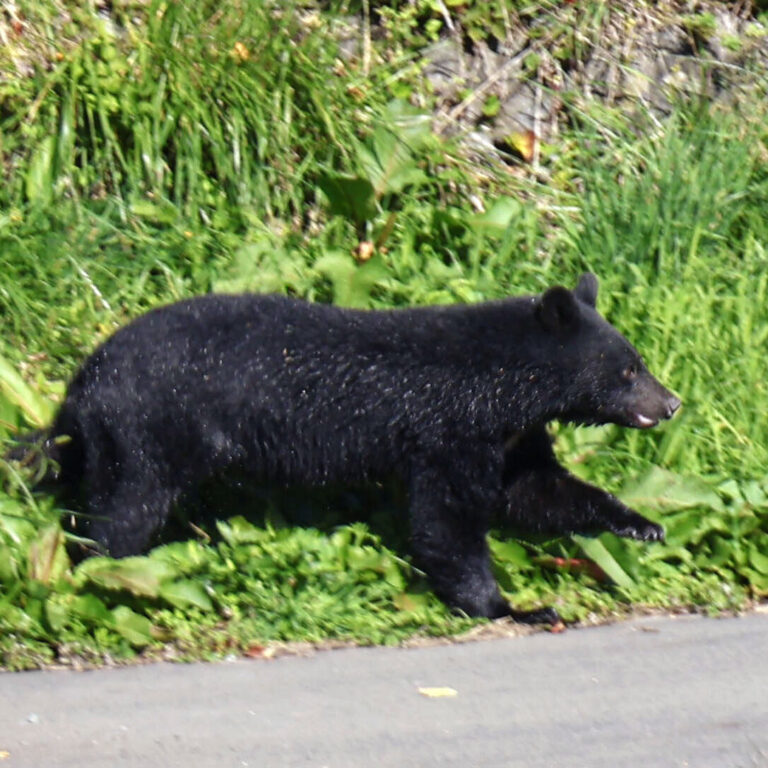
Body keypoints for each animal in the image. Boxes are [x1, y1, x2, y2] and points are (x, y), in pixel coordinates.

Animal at [14, 273, 680, 624]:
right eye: (627, 370)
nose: (671, 402)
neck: (502, 384)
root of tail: (82, 380)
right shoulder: (448, 431)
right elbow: (448, 521)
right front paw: (510, 607)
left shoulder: (510, 437)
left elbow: (537, 490)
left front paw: (641, 523)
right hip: (149, 430)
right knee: (124, 512)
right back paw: (107, 581)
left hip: (109, 437)